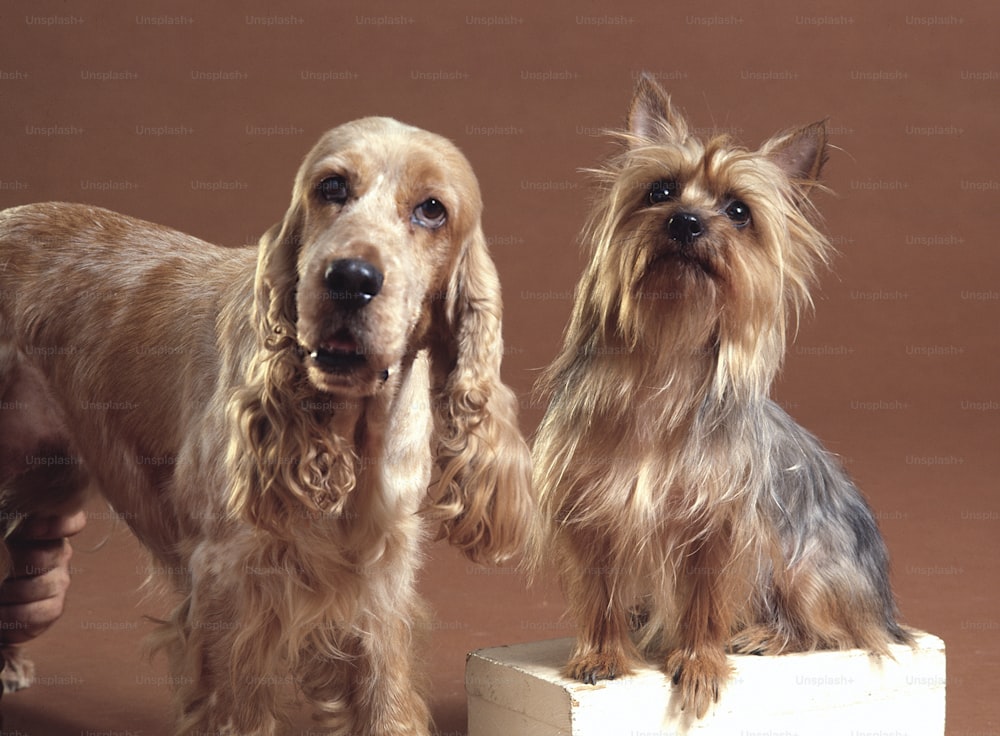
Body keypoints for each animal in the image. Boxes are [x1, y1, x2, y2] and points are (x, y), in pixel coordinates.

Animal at [536, 76, 912, 720]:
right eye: (660, 190)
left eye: (739, 211)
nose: (687, 221)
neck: (665, 359)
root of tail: (884, 601)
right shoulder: (591, 505)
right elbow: (600, 588)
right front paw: (603, 654)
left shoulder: (719, 521)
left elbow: (705, 600)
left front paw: (699, 662)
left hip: (809, 569)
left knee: (838, 630)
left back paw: (766, 635)